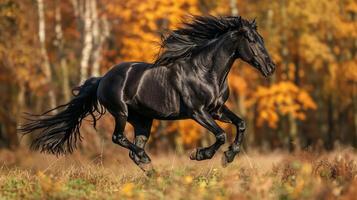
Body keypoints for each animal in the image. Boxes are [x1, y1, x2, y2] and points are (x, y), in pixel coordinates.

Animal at [20, 15, 276, 173]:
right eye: (251, 40)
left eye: (261, 39)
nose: (270, 67)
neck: (206, 72)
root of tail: (102, 78)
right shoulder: (198, 112)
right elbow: (221, 134)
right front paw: (201, 155)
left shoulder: (217, 109)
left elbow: (240, 124)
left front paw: (229, 156)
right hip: (121, 113)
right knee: (119, 138)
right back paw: (147, 160)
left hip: (143, 120)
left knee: (134, 148)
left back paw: (150, 170)